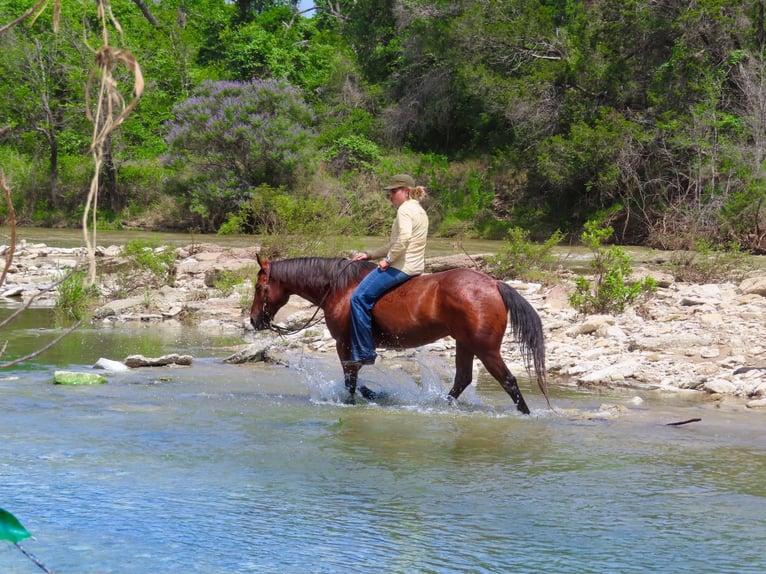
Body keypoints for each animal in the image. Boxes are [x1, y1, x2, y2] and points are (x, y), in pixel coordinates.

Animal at [250, 254, 551, 414]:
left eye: (258, 286)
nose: (254, 320)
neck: (339, 288)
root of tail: (495, 283)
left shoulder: (344, 343)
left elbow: (350, 378)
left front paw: (354, 400)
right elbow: (355, 375)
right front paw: (371, 393)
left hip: (485, 349)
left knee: (508, 381)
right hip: (465, 344)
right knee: (462, 380)